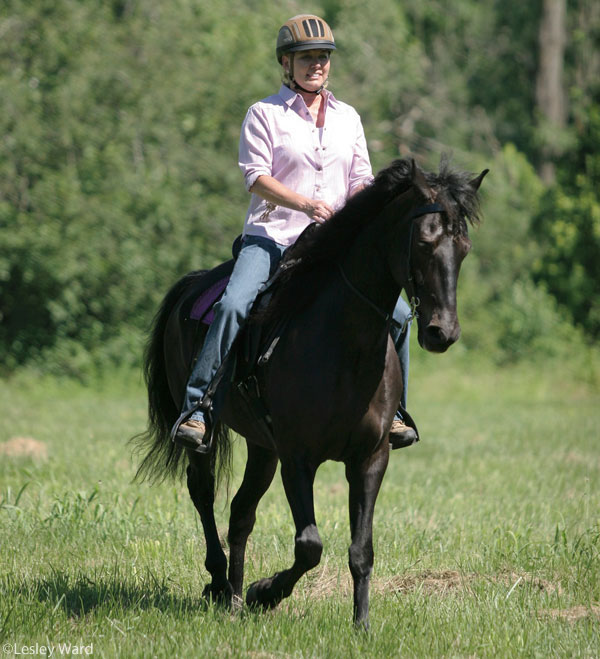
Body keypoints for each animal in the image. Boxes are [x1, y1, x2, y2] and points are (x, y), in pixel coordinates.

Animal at [135, 156, 488, 628]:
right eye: (425, 241)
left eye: (463, 248)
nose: (441, 333)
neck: (344, 345)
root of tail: (192, 285)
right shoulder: (298, 458)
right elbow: (309, 545)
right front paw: (265, 592)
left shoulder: (370, 459)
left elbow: (361, 550)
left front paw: (361, 625)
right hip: (207, 437)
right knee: (204, 493)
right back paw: (221, 583)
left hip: (262, 447)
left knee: (241, 513)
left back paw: (234, 598)